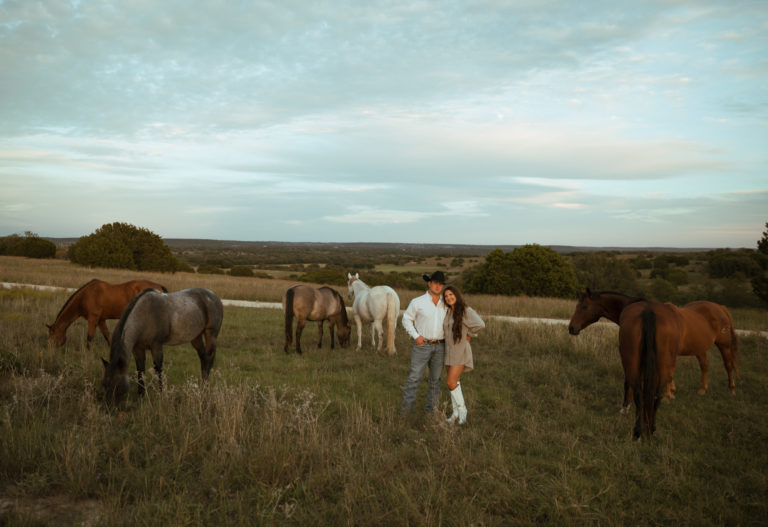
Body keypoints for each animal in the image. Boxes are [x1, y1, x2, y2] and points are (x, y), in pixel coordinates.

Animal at [568, 288, 736, 412]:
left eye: (584, 307)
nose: (571, 328)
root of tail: (720, 308)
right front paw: (670, 393)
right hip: (699, 349)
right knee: (704, 366)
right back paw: (702, 390)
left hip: (724, 345)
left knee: (728, 365)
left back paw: (731, 390)